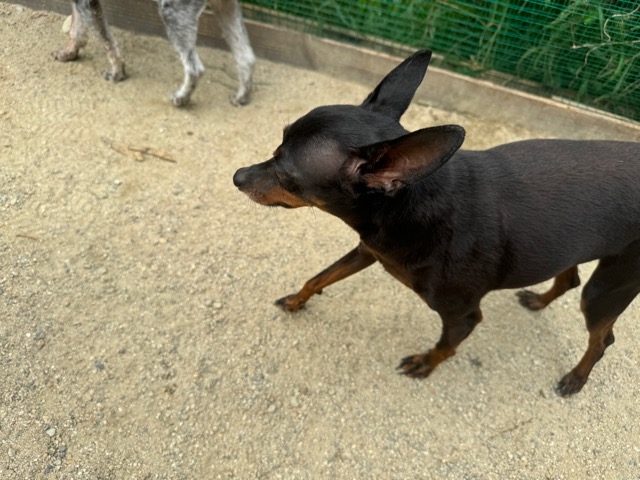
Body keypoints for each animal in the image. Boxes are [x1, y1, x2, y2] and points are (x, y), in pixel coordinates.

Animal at [53, 0, 255, 107]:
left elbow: (106, 40)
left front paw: (118, 72)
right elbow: (77, 29)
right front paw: (69, 52)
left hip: (175, 14)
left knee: (194, 68)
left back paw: (182, 98)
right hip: (225, 8)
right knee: (246, 58)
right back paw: (242, 97)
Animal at [233, 50, 640, 396]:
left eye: (288, 175)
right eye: (277, 143)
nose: (237, 176)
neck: (408, 206)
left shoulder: (463, 316)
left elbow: (446, 347)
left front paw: (426, 363)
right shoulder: (368, 250)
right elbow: (318, 277)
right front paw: (296, 301)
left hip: (607, 288)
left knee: (602, 339)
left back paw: (575, 378)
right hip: (574, 248)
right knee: (569, 279)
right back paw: (540, 300)